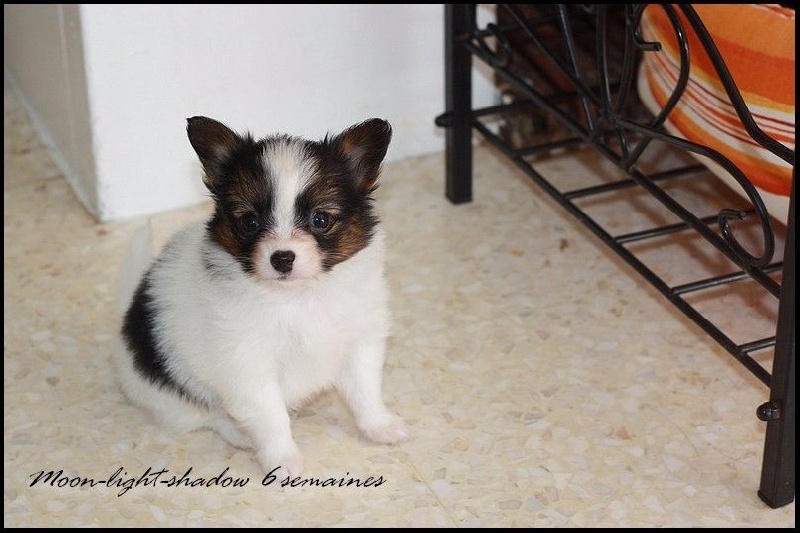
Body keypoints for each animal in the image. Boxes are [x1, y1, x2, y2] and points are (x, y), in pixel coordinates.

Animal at [115, 116, 408, 477]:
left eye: (320, 219)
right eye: (251, 222)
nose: (282, 258)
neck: (297, 297)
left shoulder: (359, 342)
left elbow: (366, 391)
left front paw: (380, 426)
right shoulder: (248, 367)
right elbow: (272, 417)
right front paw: (283, 460)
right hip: (168, 391)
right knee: (205, 416)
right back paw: (238, 433)